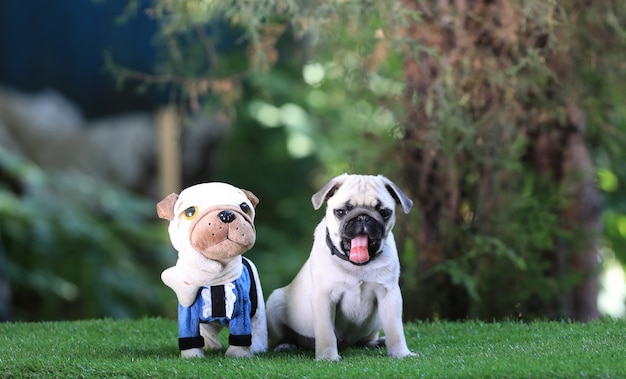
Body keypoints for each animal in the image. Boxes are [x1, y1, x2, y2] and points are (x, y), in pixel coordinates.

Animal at [264, 174, 414, 360]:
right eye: (341, 212)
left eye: (384, 212)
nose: (363, 217)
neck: (357, 264)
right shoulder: (324, 297)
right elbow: (326, 333)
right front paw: (328, 357)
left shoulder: (389, 294)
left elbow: (395, 329)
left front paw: (401, 353)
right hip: (275, 304)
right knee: (280, 339)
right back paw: (285, 346)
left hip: (375, 323)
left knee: (366, 339)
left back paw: (376, 343)